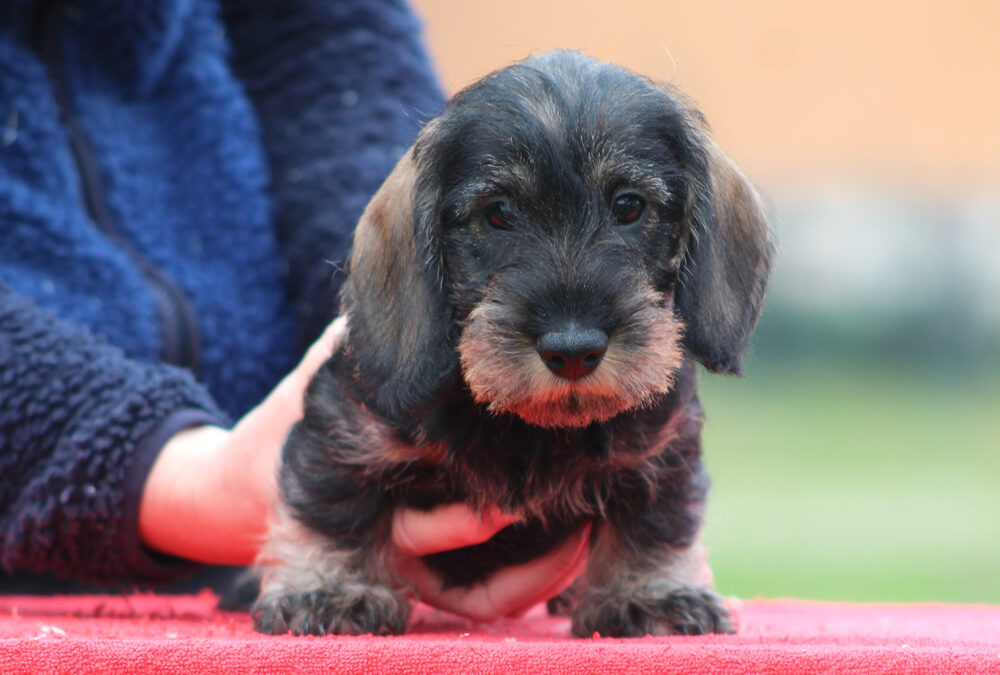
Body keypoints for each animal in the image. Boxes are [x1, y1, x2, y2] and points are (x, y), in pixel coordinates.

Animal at [250, 51, 772, 640]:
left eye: (629, 205)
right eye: (498, 212)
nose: (573, 349)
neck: (531, 429)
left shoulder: (661, 447)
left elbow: (655, 517)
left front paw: (651, 593)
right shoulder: (345, 426)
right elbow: (333, 503)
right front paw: (330, 588)